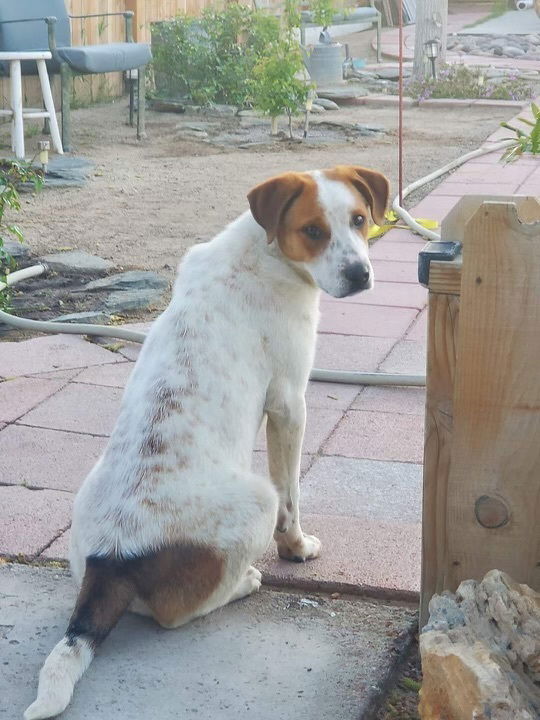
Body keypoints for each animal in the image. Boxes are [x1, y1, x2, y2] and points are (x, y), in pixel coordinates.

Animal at [25, 165, 388, 720]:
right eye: (312, 230)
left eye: (359, 219)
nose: (360, 274)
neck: (262, 252)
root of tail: (113, 558)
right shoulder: (289, 404)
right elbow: (293, 498)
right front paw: (297, 548)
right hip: (256, 499)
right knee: (176, 614)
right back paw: (243, 584)